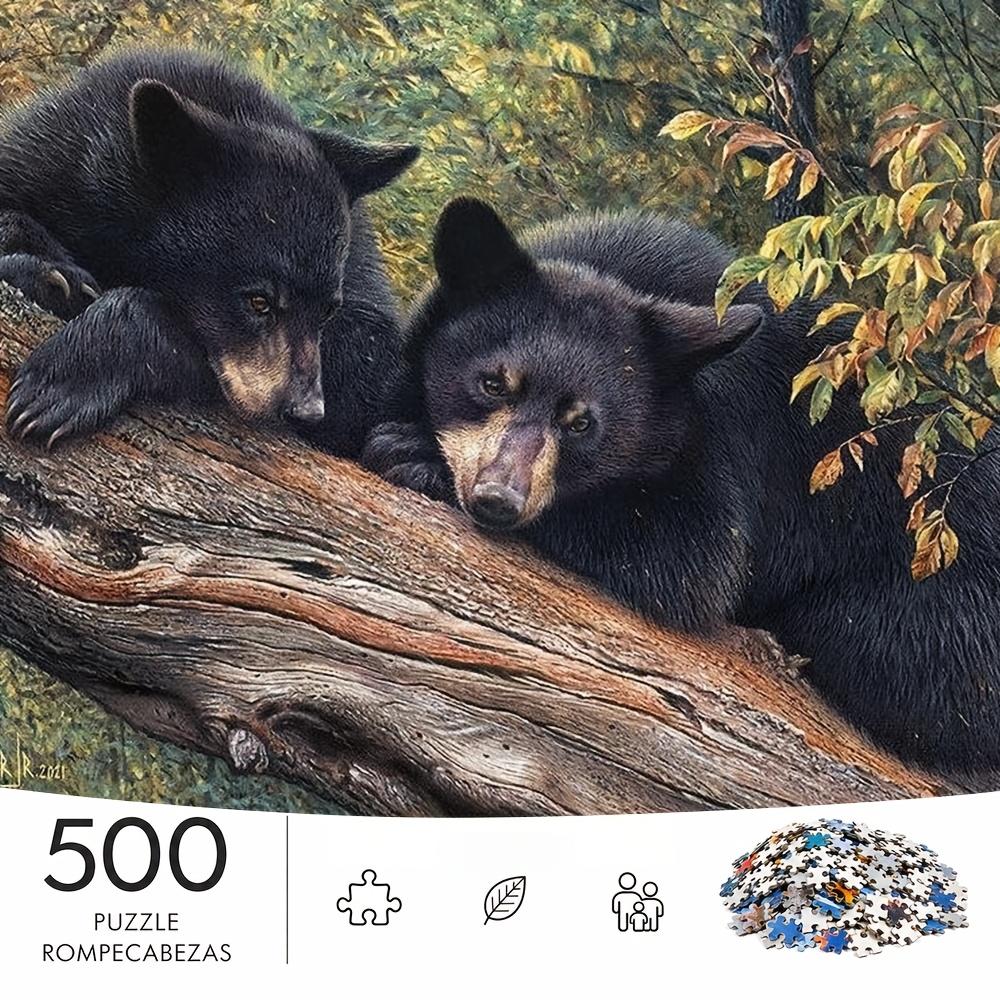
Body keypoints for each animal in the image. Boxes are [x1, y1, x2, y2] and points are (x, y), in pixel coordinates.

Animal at [0, 47, 418, 456]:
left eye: (327, 311)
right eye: (258, 301)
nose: (307, 410)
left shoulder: (359, 281)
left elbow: (368, 371)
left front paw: (61, 382)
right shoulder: (47, 159)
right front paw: (55, 276)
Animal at [363, 197, 1000, 773]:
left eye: (582, 423)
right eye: (493, 382)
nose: (498, 499)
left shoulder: (723, 432)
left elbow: (691, 556)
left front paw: (415, 455)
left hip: (943, 608)